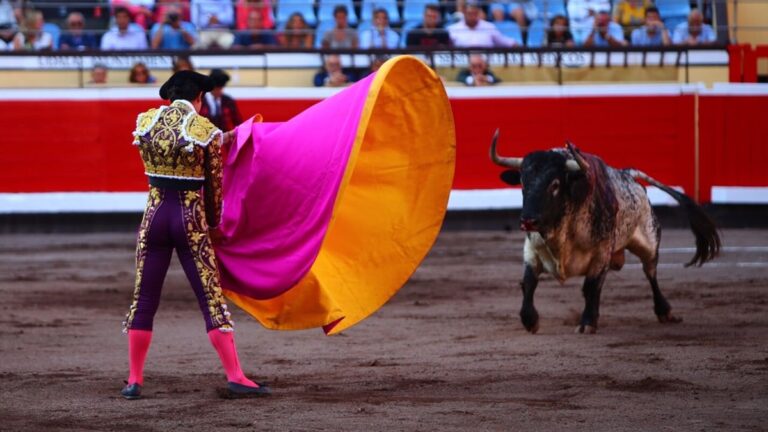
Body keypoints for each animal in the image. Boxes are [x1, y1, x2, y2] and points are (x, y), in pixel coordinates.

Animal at [492, 130, 720, 336]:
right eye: (523, 183)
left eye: (555, 185)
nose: (528, 220)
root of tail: (629, 175)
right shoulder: (532, 249)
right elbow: (529, 282)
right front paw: (530, 320)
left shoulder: (601, 253)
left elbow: (590, 287)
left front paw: (587, 323)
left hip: (648, 242)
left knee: (650, 272)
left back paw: (665, 311)